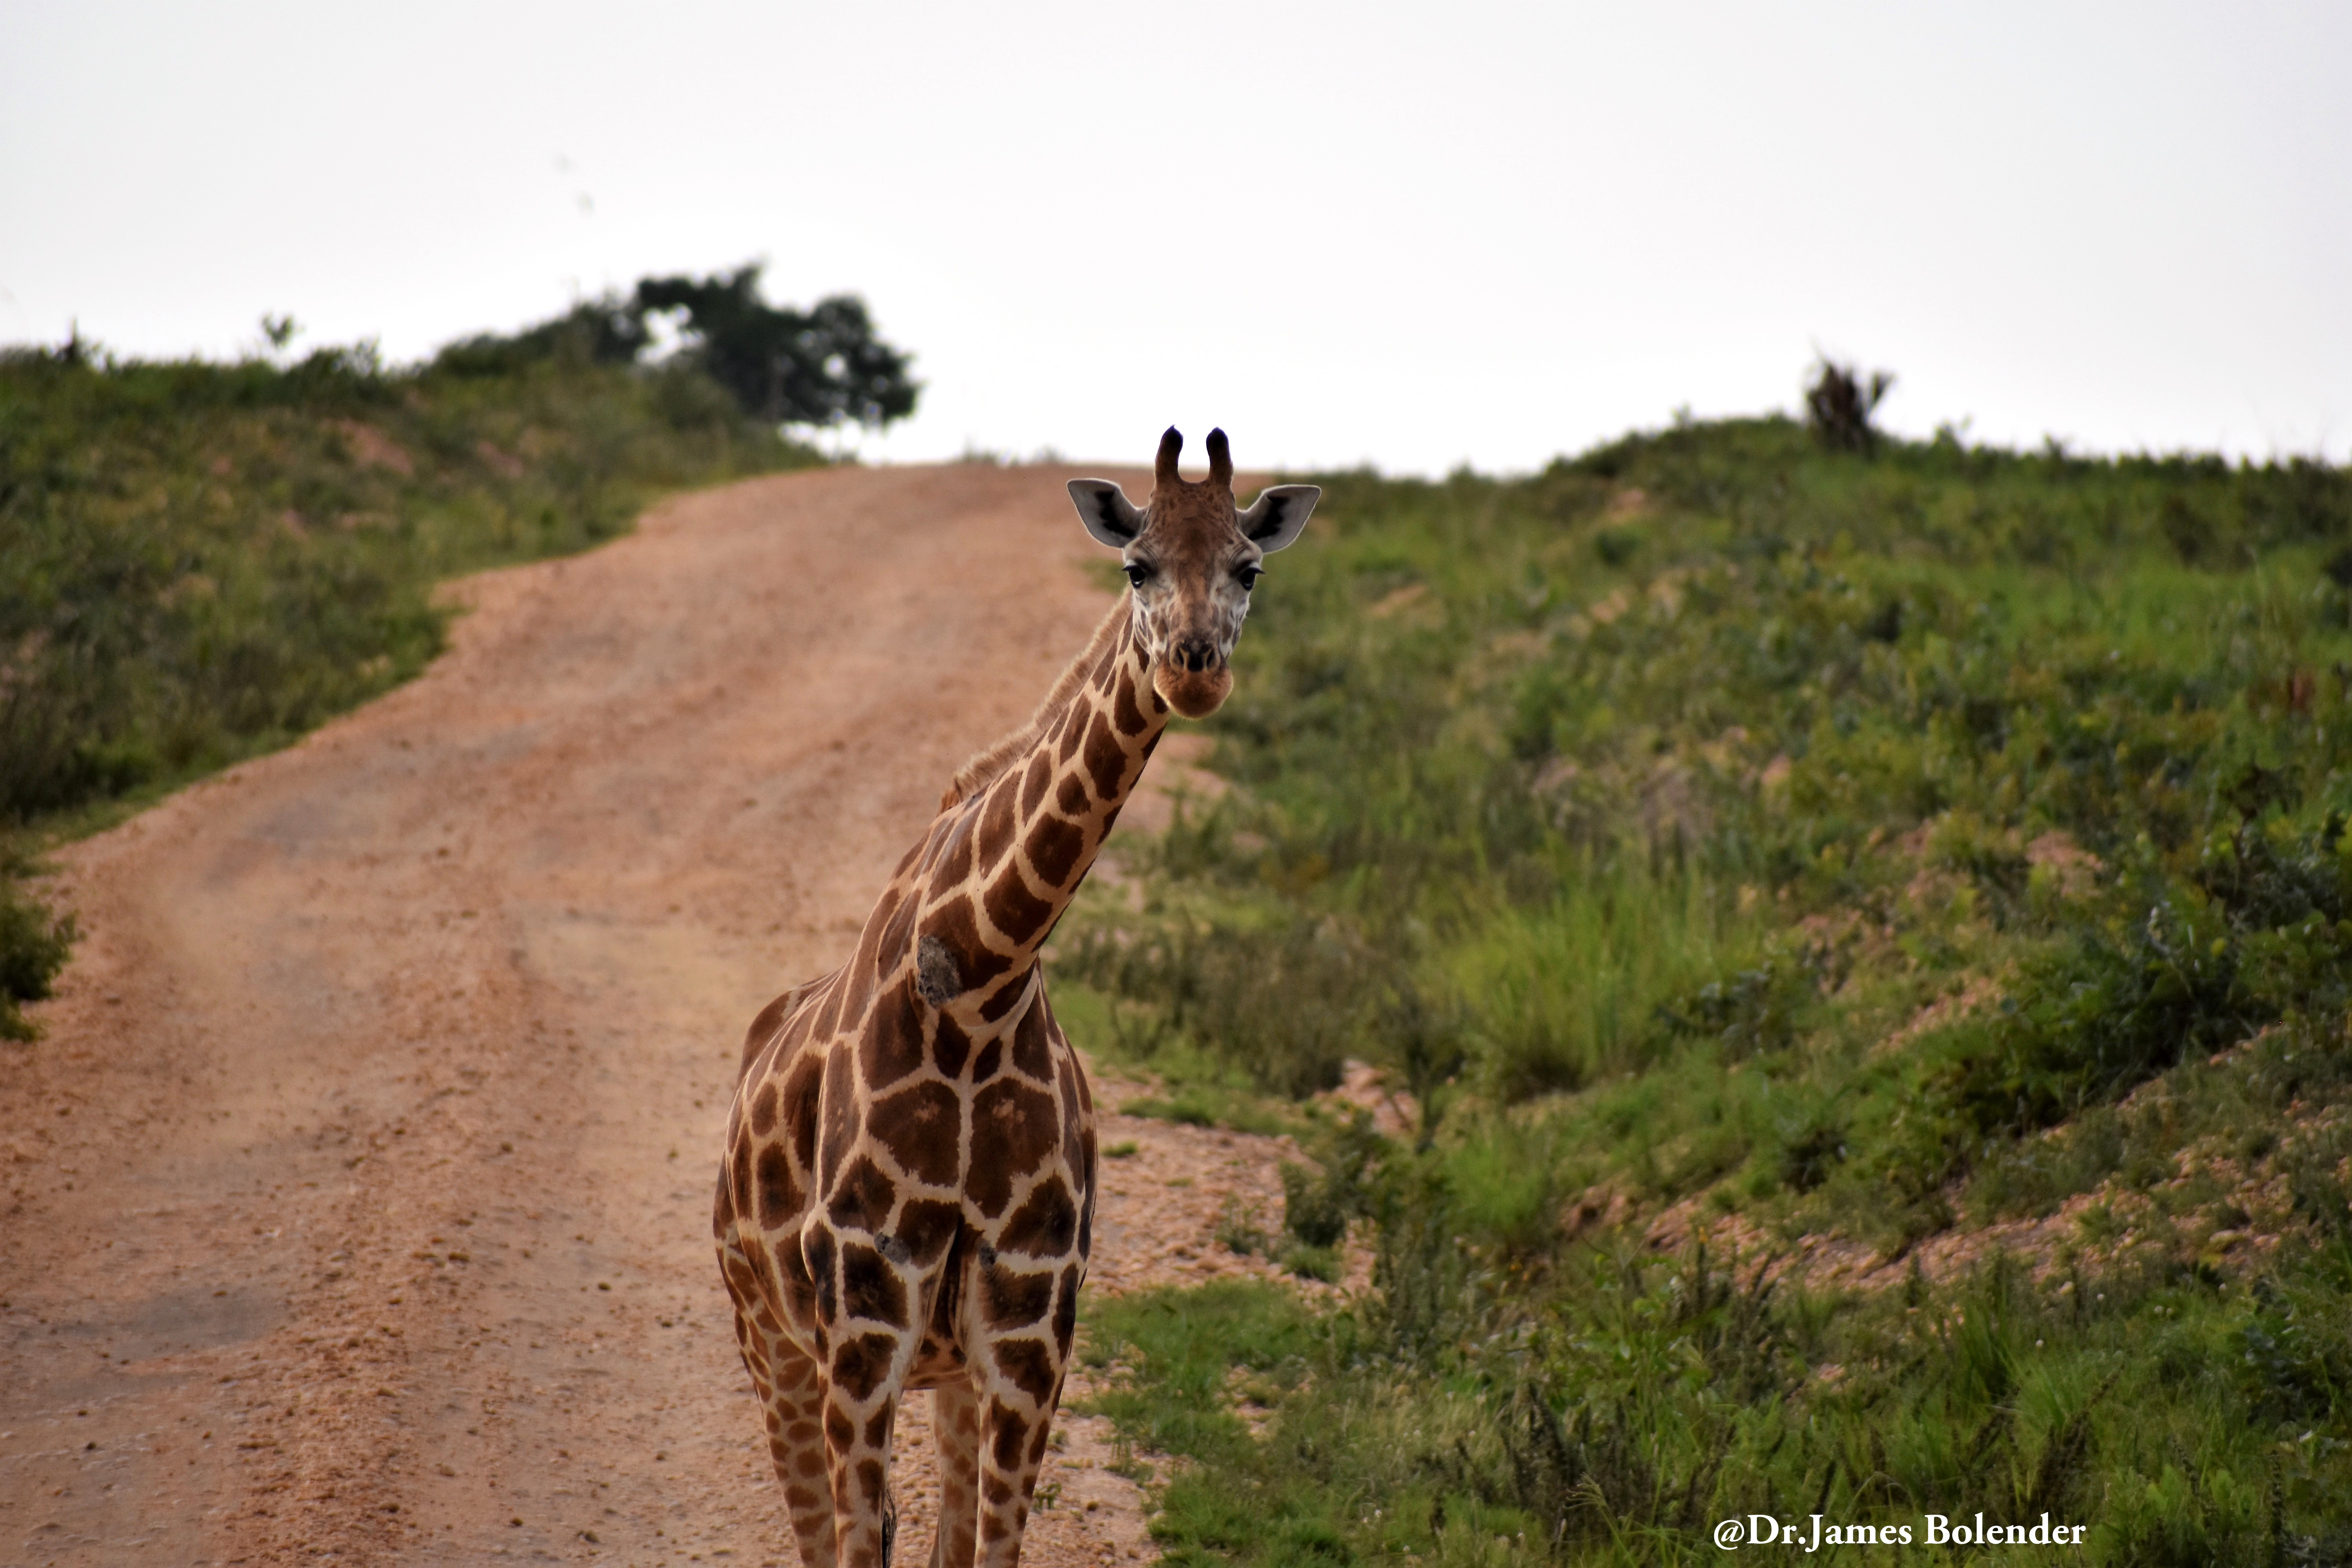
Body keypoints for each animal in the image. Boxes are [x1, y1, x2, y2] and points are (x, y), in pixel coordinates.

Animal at [715, 425, 1327, 1568]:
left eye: (1248, 569)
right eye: (1136, 564)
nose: (1194, 668)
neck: (978, 990)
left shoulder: (1030, 1333)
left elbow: (985, 1549)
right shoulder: (863, 1320)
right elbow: (859, 1545)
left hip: (941, 1370)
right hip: (768, 1336)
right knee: (823, 1528)